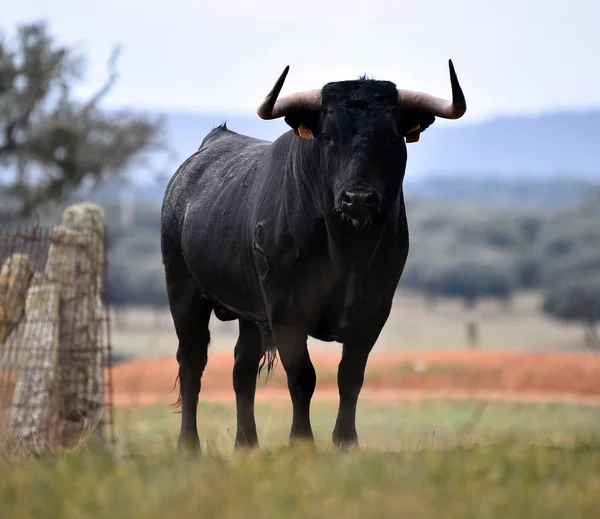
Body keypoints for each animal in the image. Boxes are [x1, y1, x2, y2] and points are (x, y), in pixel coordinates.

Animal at [161, 59, 468, 452]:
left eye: (390, 137)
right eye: (328, 137)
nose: (358, 198)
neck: (347, 252)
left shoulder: (374, 310)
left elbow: (350, 376)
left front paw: (346, 441)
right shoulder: (287, 310)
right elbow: (302, 376)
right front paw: (302, 442)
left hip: (249, 311)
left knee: (242, 369)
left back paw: (247, 444)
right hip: (184, 292)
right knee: (192, 362)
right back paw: (189, 445)